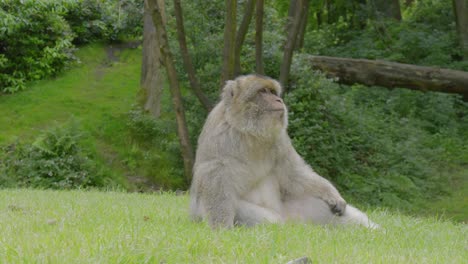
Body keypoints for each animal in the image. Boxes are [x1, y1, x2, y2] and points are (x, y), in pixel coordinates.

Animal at [188, 74, 378, 229]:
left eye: (273, 92)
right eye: (263, 91)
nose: (279, 101)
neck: (250, 132)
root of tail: (291, 219)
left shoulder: (280, 139)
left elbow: (293, 173)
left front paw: (332, 194)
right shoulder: (220, 137)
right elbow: (215, 177)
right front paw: (221, 227)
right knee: (267, 220)